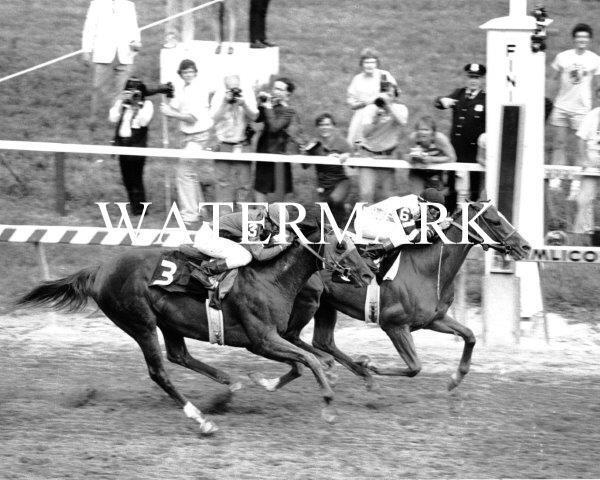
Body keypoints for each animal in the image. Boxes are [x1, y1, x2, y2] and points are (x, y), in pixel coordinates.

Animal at [17, 226, 376, 436]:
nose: (368, 274)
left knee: (179, 356)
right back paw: (202, 419)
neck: (271, 278)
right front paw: (328, 406)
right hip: (140, 322)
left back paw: (230, 383)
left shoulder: (268, 339)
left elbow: (304, 363)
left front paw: (267, 382)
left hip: (167, 322)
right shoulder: (261, 340)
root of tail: (98, 270)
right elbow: (309, 361)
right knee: (159, 371)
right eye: (341, 245)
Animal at [274, 201, 528, 392]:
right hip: (309, 300)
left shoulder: (433, 319)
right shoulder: (394, 324)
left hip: (327, 305)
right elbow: (415, 366)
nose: (525, 246)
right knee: (290, 335)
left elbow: (470, 336)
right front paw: (371, 363)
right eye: (495, 221)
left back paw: (359, 373)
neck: (427, 269)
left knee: (323, 341)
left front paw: (455, 379)